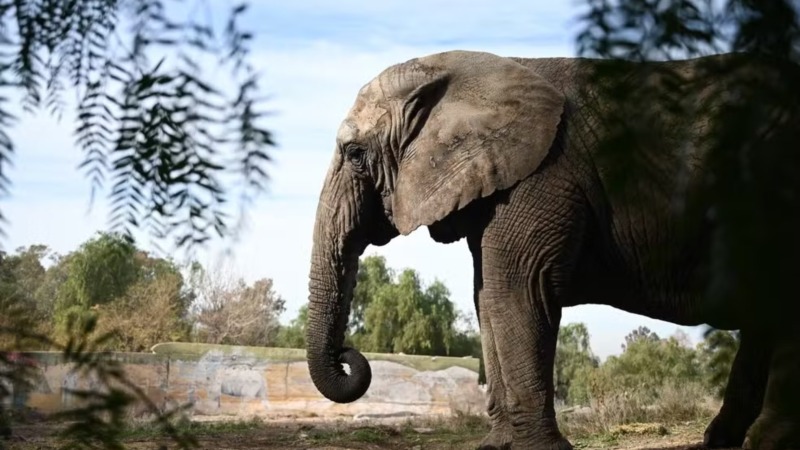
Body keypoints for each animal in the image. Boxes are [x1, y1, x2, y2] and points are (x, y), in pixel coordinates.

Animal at [303, 50, 799, 450]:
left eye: (354, 154)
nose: (350, 356)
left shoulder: (543, 173)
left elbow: (517, 292)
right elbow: (487, 300)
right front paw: (496, 447)